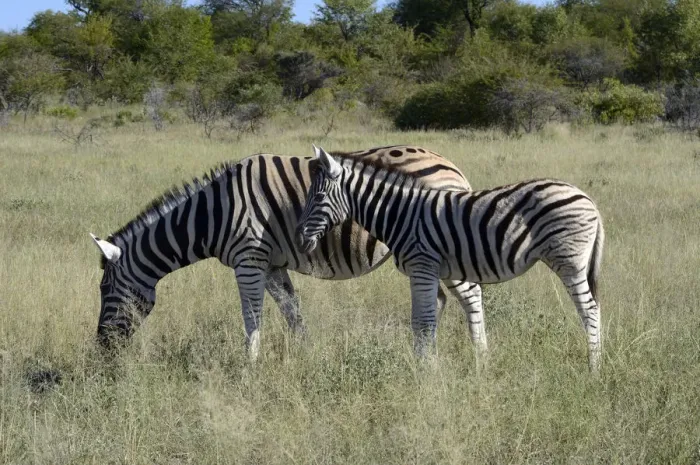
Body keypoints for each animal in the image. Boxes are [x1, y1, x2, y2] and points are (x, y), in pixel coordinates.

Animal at [89, 146, 485, 360]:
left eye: (105, 290)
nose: (101, 347)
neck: (213, 214)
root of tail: (450, 163)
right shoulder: (271, 265)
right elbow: (292, 311)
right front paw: (307, 356)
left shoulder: (248, 260)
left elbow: (252, 317)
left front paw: (249, 366)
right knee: (440, 299)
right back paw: (424, 348)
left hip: (443, 245)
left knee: (471, 296)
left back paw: (480, 358)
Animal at [296, 146, 605, 372]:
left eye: (318, 197)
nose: (299, 239)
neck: (400, 214)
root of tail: (588, 199)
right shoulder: (429, 271)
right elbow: (423, 320)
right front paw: (425, 362)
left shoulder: (422, 266)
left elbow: (423, 321)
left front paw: (425, 371)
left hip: (569, 261)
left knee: (589, 309)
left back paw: (594, 367)